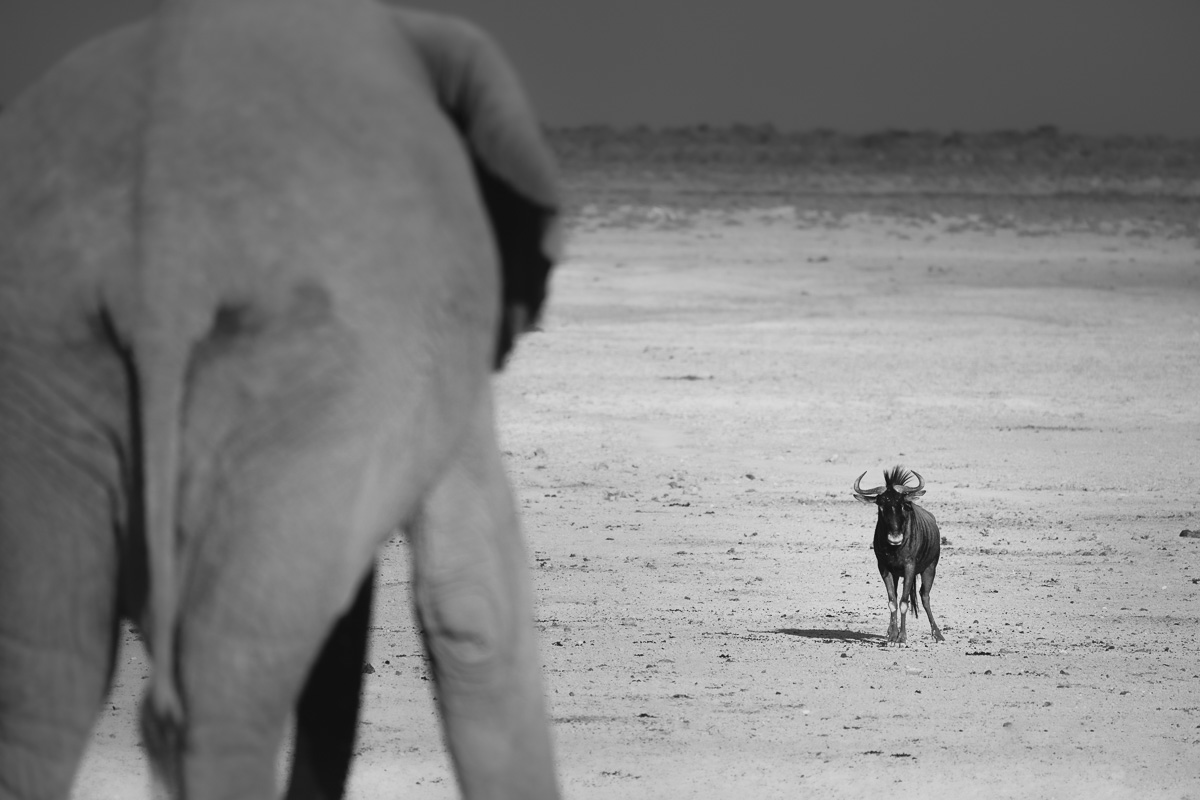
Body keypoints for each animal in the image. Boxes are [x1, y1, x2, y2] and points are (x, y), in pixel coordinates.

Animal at [0, 0, 561, 797]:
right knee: (225, 677)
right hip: (317, 367)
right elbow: (472, 602)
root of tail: (164, 262)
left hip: (42, 354)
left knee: (45, 675)